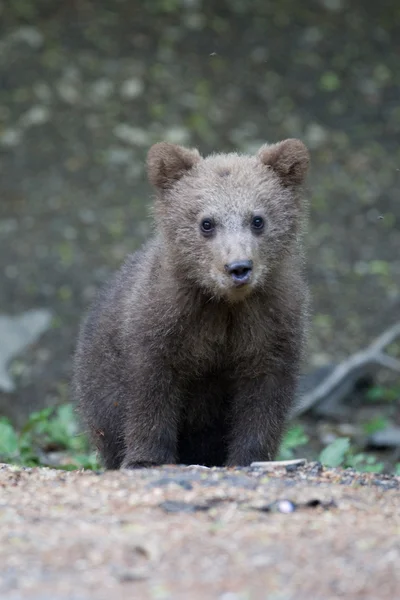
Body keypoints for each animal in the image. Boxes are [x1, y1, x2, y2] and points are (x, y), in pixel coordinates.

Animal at [73, 138, 310, 466]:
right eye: (206, 222)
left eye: (258, 219)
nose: (238, 267)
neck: (224, 306)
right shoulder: (163, 325)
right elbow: (150, 392)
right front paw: (146, 458)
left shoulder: (270, 327)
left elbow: (263, 400)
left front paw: (250, 457)